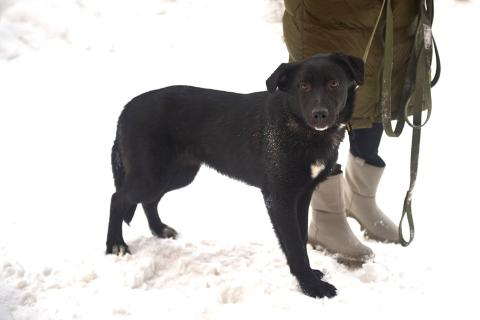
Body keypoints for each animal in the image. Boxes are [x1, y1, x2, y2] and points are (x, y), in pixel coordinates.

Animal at [107, 52, 364, 298]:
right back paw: (116, 245)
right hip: (151, 175)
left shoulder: (302, 193)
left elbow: (301, 238)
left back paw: (159, 229)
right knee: (118, 198)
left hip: (177, 174)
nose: (319, 115)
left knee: (148, 201)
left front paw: (308, 276)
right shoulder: (278, 197)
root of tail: (126, 109)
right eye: (303, 86)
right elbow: (294, 245)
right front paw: (311, 287)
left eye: (334, 83)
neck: (303, 130)